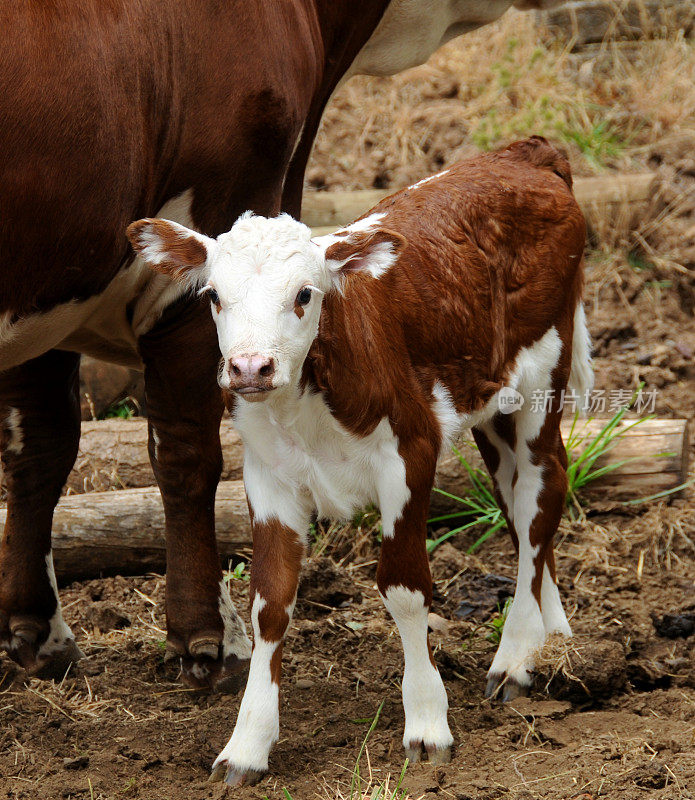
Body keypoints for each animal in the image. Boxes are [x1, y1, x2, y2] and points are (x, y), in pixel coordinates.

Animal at [0, 0, 564, 688]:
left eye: (305, 294)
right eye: (217, 295)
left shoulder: (50, 289)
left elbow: (39, 448)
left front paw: (38, 631)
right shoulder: (204, 231)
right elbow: (187, 454)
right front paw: (208, 636)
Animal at [128, 136, 588, 780]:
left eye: (304, 293)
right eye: (214, 296)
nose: (249, 368)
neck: (308, 398)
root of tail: (522, 155)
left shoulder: (410, 454)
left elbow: (404, 589)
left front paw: (427, 722)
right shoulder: (268, 477)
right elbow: (270, 603)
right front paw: (247, 744)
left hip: (543, 372)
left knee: (539, 496)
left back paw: (518, 655)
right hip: (492, 401)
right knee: (521, 504)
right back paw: (553, 632)